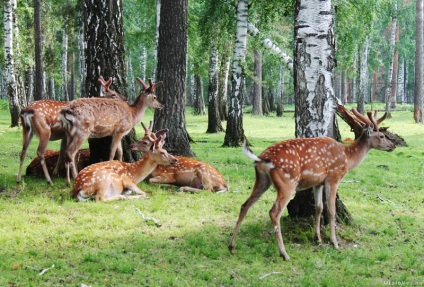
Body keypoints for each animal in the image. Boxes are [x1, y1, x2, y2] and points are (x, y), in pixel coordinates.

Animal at [229, 108, 398, 260]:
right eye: (382, 135)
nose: (393, 146)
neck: (347, 158)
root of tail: (261, 158)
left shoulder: (318, 183)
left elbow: (319, 208)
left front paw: (318, 238)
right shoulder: (333, 177)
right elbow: (331, 210)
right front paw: (334, 242)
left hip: (262, 180)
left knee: (245, 205)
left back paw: (232, 245)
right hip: (287, 183)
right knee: (274, 212)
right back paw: (284, 253)